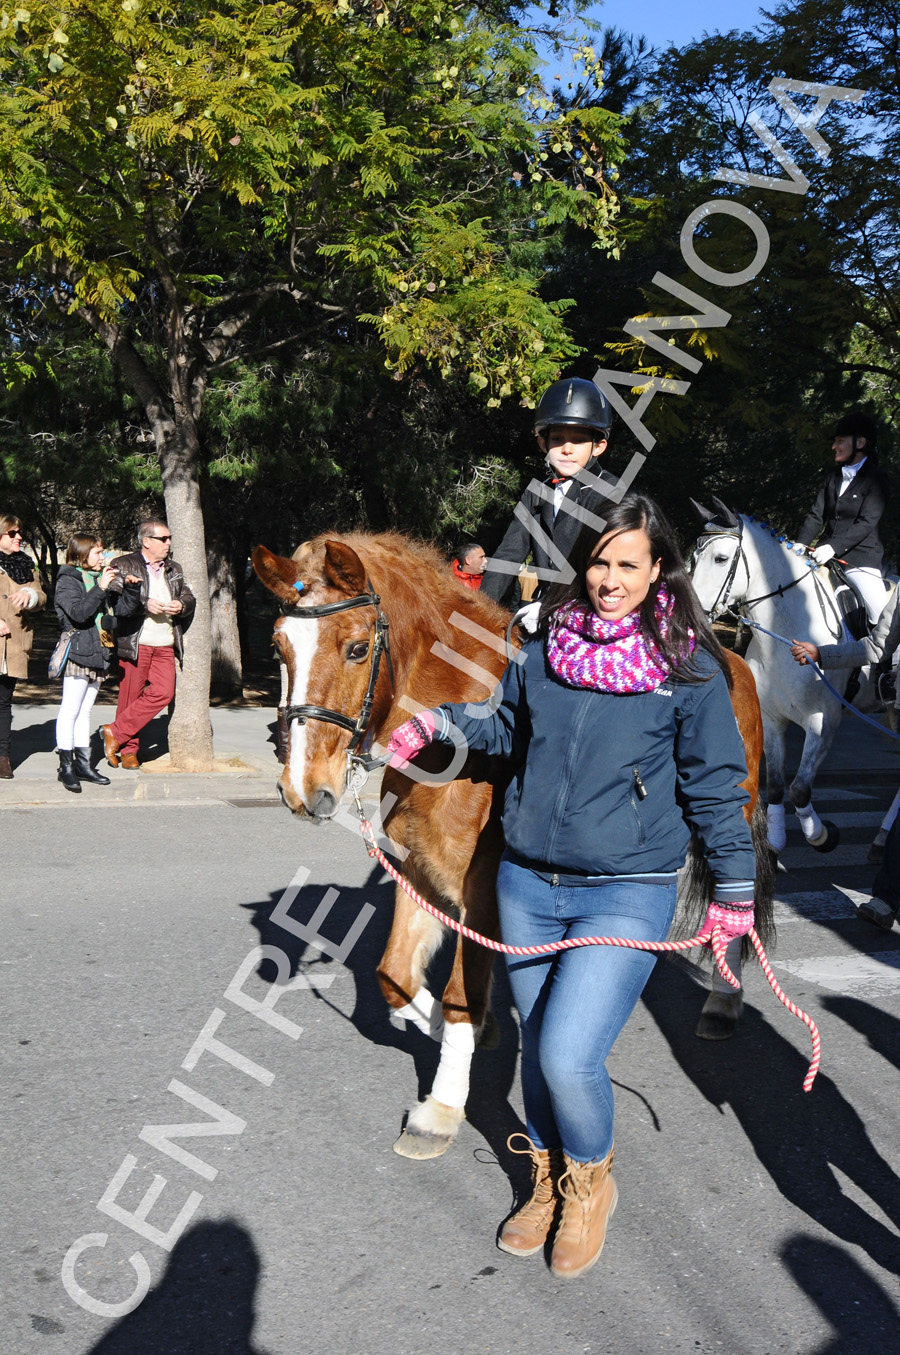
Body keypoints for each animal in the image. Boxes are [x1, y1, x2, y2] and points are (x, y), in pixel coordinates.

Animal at [253, 533, 775, 1159]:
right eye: (279, 648)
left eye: (356, 649)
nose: (303, 791)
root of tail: (733, 660)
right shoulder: (419, 871)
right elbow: (395, 976)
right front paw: (470, 1028)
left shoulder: (480, 890)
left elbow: (457, 994)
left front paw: (442, 1107)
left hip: (732, 816)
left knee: (730, 899)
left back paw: (722, 999)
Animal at [688, 498, 851, 856]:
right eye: (693, 557)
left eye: (721, 559)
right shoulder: (772, 720)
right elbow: (775, 786)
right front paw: (774, 840)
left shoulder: (824, 724)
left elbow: (800, 789)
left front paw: (822, 835)